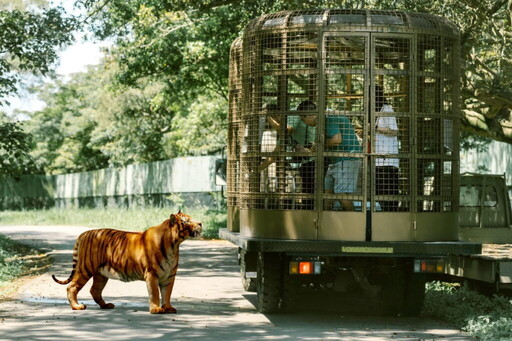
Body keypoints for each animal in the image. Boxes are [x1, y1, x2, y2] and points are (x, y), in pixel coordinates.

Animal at [52, 210, 202, 314]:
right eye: (187, 221)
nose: (200, 223)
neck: (174, 244)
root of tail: (83, 234)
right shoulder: (152, 274)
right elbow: (154, 293)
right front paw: (156, 309)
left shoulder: (169, 277)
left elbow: (167, 293)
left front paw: (168, 307)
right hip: (85, 269)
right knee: (71, 287)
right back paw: (77, 306)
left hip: (101, 275)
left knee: (94, 290)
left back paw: (106, 305)